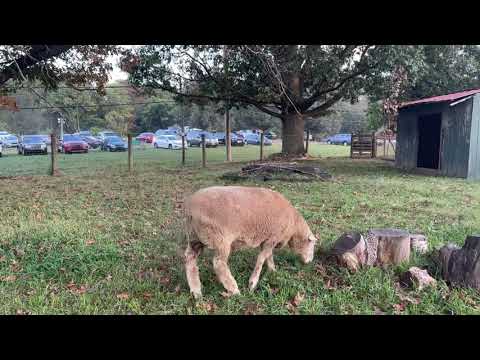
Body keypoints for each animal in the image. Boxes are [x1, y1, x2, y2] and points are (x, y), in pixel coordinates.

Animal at [182, 186, 316, 298]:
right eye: (312, 245)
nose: (310, 262)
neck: (293, 225)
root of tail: (190, 211)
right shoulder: (273, 237)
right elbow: (261, 258)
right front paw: (253, 283)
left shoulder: (267, 239)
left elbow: (268, 256)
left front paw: (272, 270)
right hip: (220, 239)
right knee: (218, 263)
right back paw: (234, 290)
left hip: (194, 238)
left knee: (190, 259)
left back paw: (196, 291)